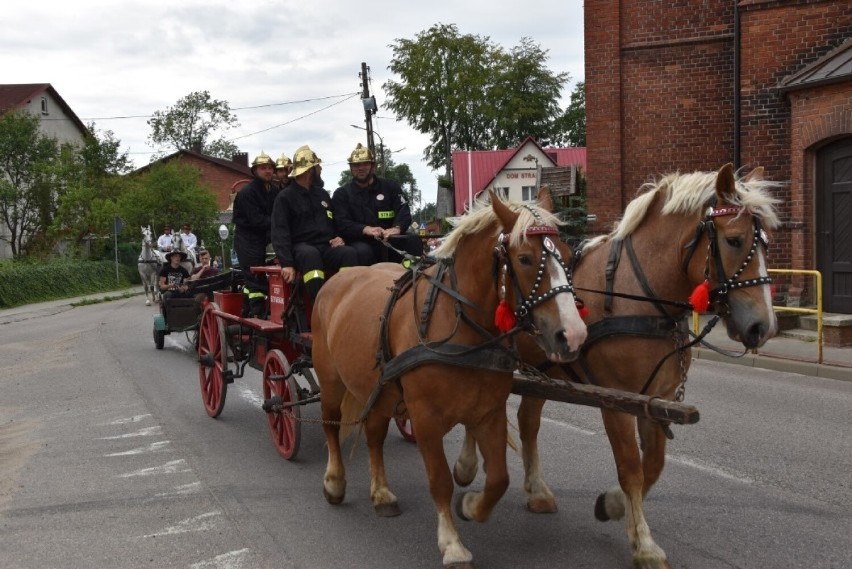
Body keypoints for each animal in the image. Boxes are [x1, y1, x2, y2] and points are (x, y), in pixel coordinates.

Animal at [310, 192, 588, 568]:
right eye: (525, 258)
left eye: (570, 256)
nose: (572, 335)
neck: (460, 329)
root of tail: (338, 280)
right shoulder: (425, 419)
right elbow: (440, 481)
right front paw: (453, 544)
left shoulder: (489, 412)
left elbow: (498, 478)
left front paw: (471, 506)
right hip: (330, 382)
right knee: (331, 425)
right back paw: (335, 481)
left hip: (379, 390)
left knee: (374, 436)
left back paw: (381, 493)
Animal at [456, 162, 784, 564]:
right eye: (735, 240)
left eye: (766, 242)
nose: (763, 327)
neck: (635, 294)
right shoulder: (615, 401)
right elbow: (631, 467)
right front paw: (643, 543)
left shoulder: (655, 400)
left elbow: (653, 465)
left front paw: (612, 505)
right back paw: (467, 466)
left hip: (544, 367)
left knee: (527, 421)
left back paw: (536, 490)